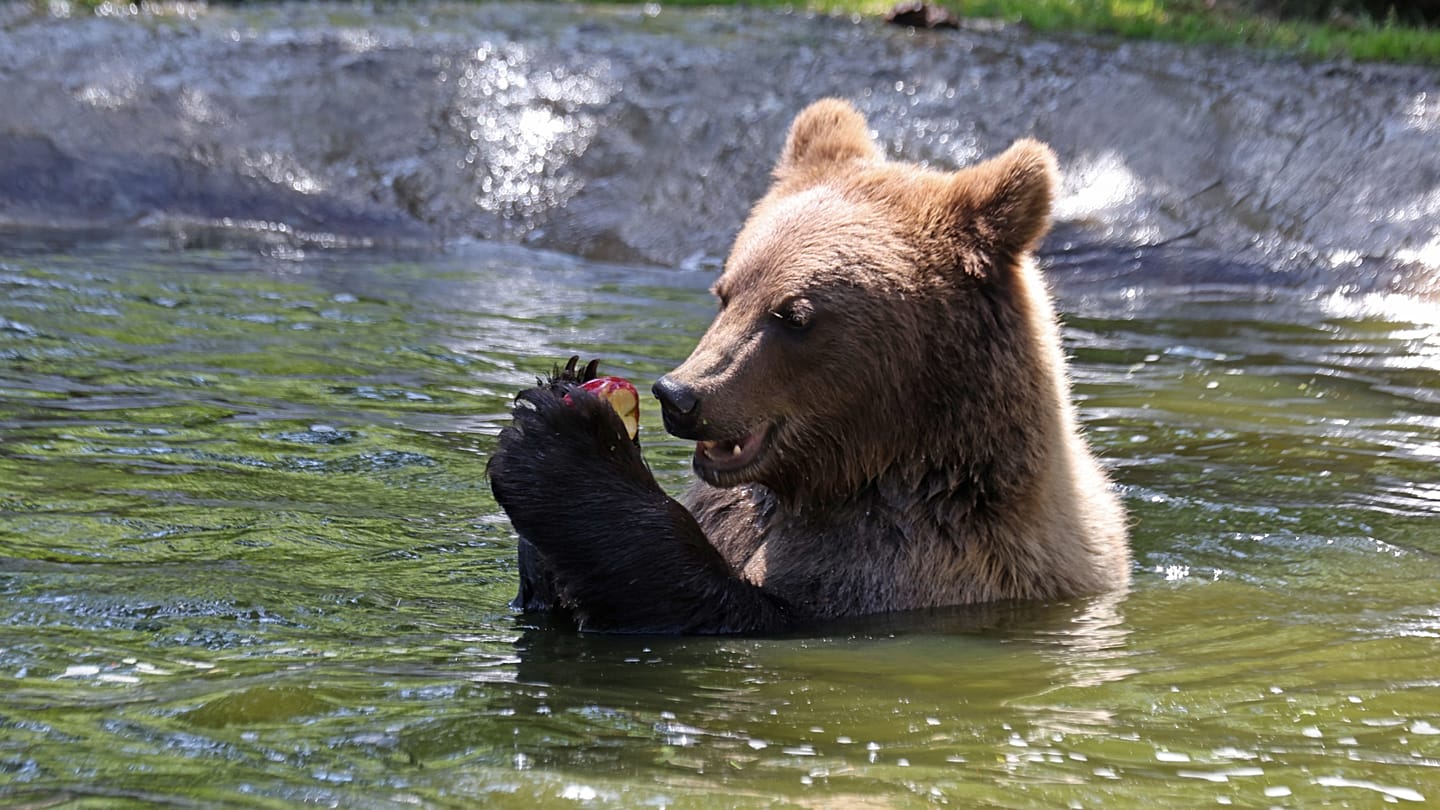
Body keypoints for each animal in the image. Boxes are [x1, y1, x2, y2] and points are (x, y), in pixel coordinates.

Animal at [487, 99, 1130, 634]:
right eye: (726, 292)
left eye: (794, 316)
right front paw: (563, 387)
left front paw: (565, 445)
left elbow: (716, 605)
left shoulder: (913, 568)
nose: (680, 394)